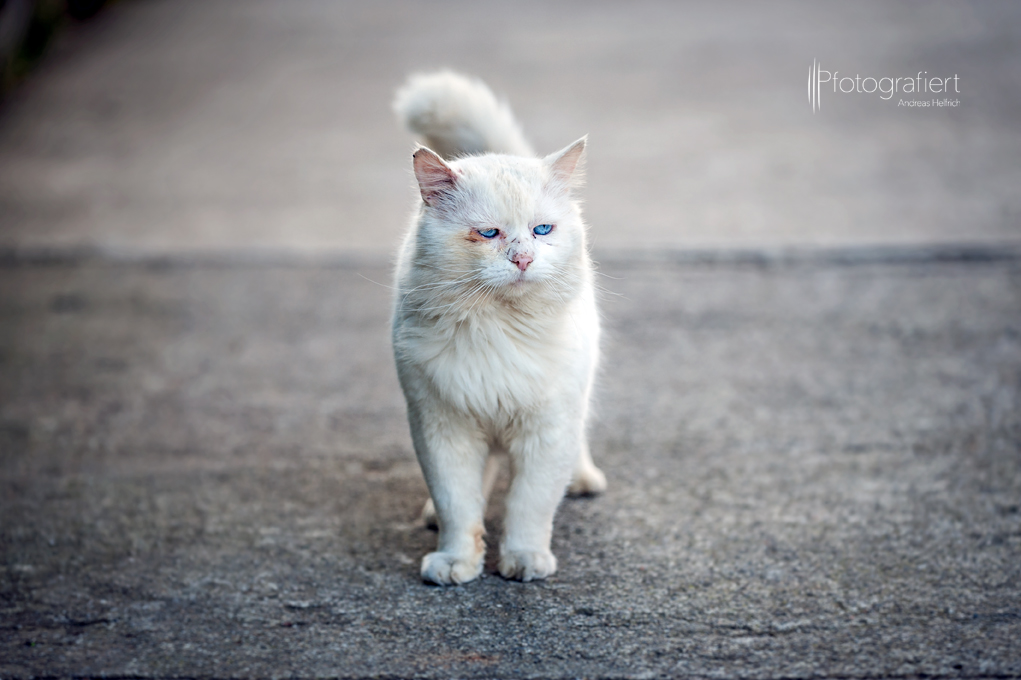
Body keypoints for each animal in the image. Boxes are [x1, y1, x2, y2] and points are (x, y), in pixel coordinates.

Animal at [385, 73, 600, 584]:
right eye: (488, 234)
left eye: (542, 230)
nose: (522, 259)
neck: (499, 327)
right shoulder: (442, 427)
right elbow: (458, 506)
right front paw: (456, 562)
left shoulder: (547, 431)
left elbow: (530, 506)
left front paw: (523, 561)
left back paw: (582, 481)